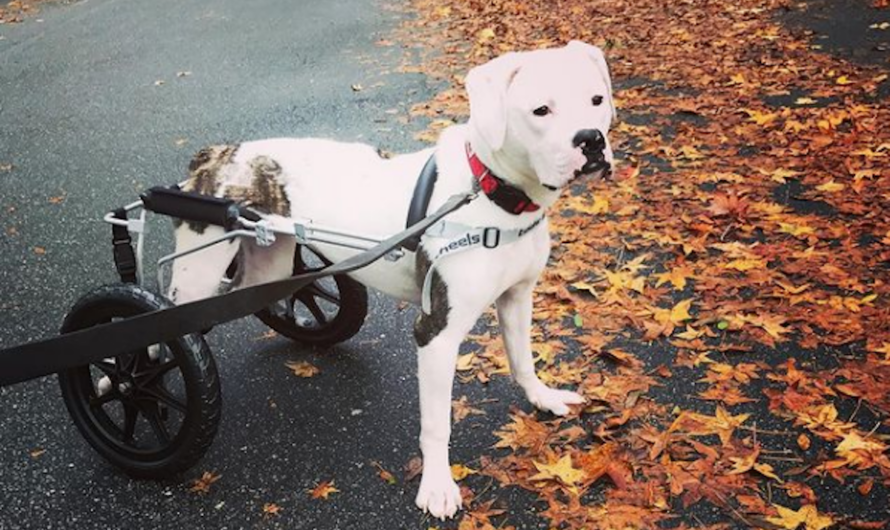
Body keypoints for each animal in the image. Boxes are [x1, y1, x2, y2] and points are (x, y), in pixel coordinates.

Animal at [165, 40, 612, 516]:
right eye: (541, 110)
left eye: (597, 100)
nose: (591, 139)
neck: (493, 193)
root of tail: (217, 152)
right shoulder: (436, 334)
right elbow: (436, 423)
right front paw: (437, 484)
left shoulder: (517, 297)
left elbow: (523, 358)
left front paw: (542, 397)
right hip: (198, 271)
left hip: (272, 261)